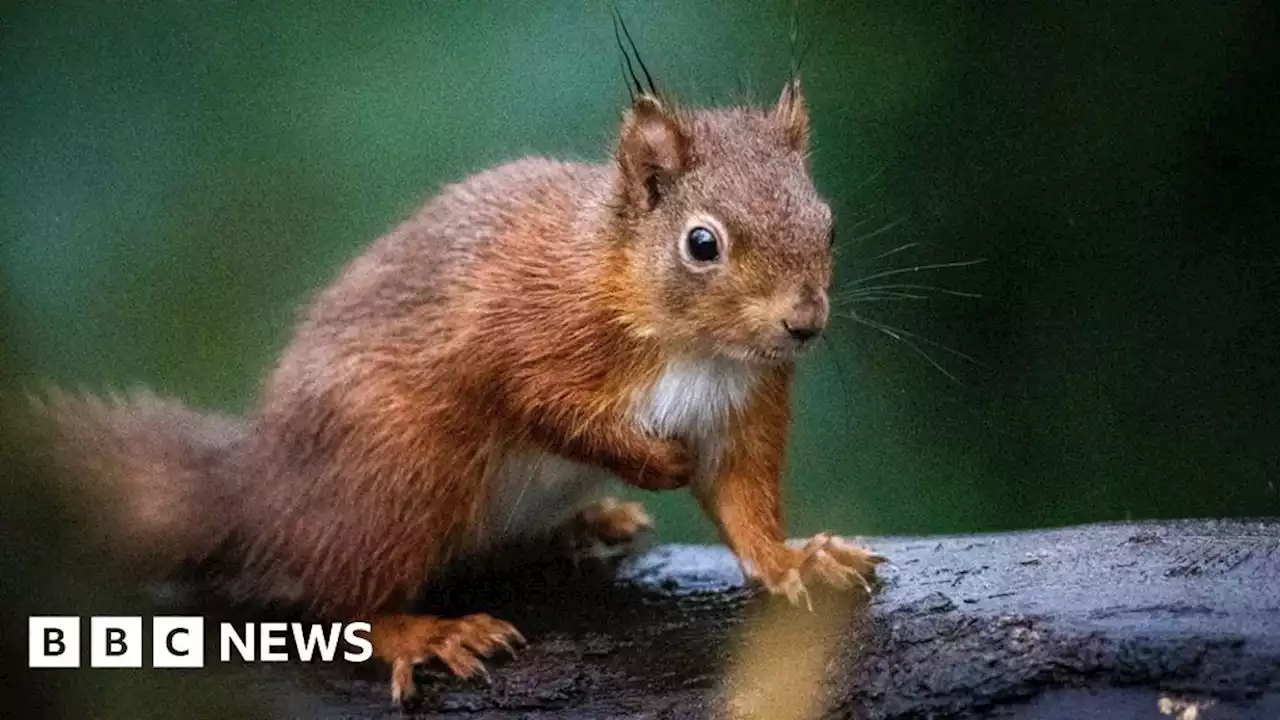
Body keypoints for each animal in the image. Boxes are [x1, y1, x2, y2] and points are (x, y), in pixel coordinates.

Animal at [37, 29, 880, 702]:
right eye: (702, 244)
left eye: (829, 225)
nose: (804, 324)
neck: (692, 346)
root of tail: (261, 495)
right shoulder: (516, 333)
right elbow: (540, 403)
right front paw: (652, 463)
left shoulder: (746, 406)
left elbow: (743, 501)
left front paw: (794, 559)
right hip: (403, 468)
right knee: (342, 596)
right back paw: (421, 632)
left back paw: (587, 524)